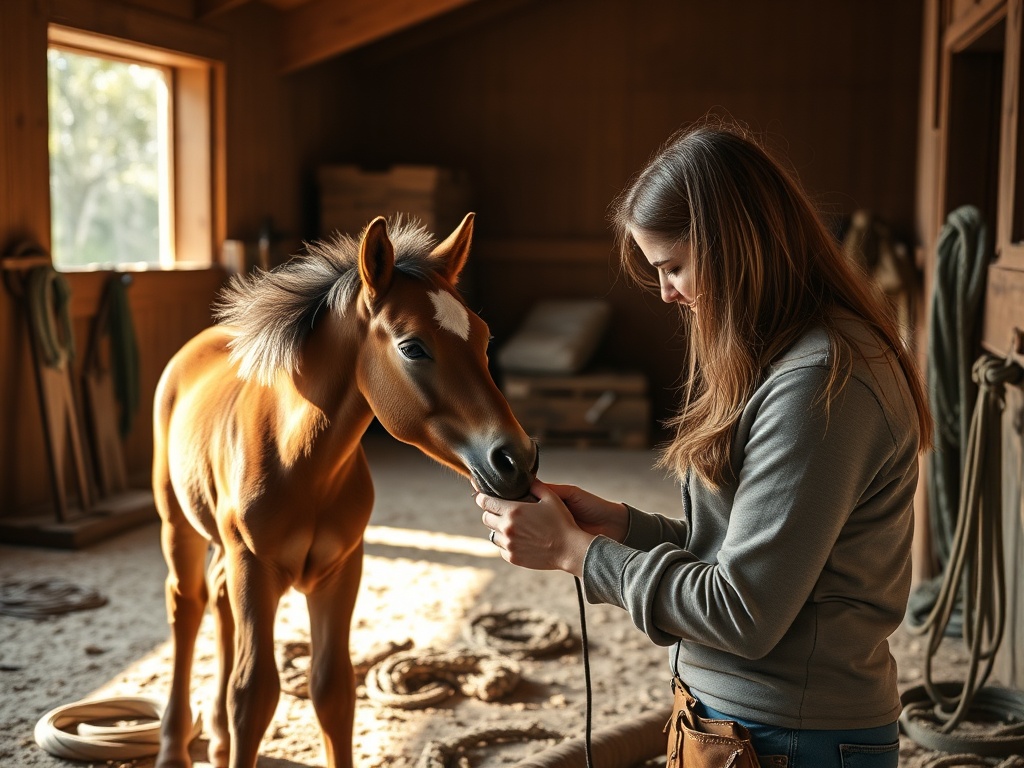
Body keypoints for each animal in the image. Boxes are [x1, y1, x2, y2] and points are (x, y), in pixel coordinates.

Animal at [152, 213, 538, 768]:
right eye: (412, 346)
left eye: (484, 339)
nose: (516, 460)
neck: (300, 462)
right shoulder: (255, 567)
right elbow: (255, 693)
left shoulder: (341, 569)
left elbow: (332, 688)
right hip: (178, 525)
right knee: (187, 605)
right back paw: (173, 746)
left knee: (218, 597)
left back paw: (218, 739)